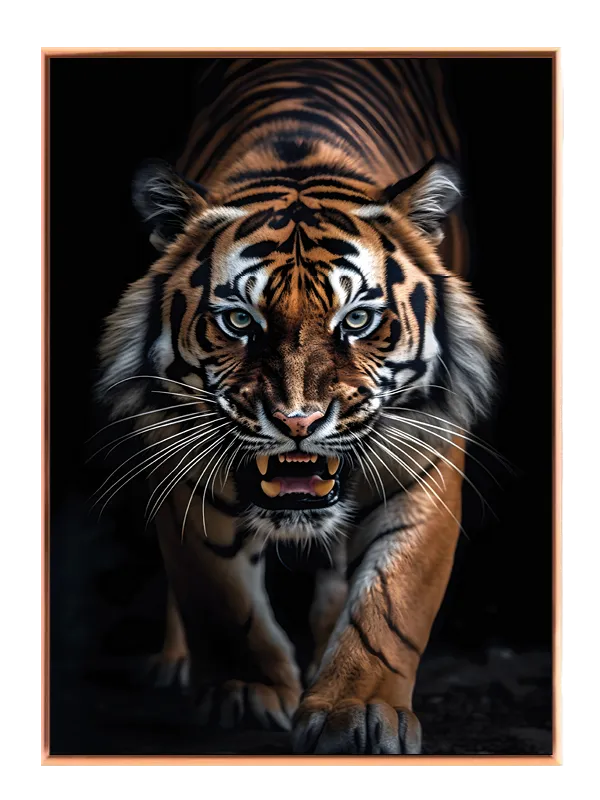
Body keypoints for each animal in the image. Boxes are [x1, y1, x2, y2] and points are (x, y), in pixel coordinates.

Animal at [96, 58, 498, 754]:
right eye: (238, 321)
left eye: (358, 320)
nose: (298, 422)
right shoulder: (180, 450)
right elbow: (219, 592)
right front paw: (246, 694)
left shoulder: (429, 446)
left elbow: (391, 601)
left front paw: (357, 710)